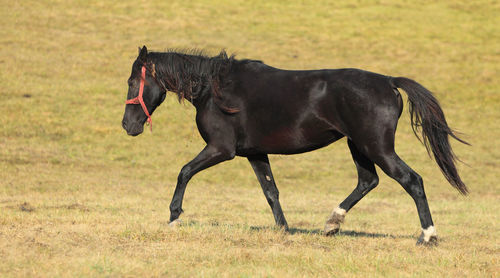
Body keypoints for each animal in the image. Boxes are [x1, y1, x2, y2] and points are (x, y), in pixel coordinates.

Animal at [122, 46, 468, 245]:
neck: (214, 89)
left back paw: (427, 235)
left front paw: (174, 218)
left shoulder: (222, 149)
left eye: (131, 81)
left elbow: (184, 172)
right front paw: (283, 229)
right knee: (368, 181)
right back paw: (331, 224)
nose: (128, 125)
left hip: (376, 147)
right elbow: (270, 191)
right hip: (359, 146)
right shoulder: (255, 153)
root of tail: (389, 82)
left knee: (412, 180)